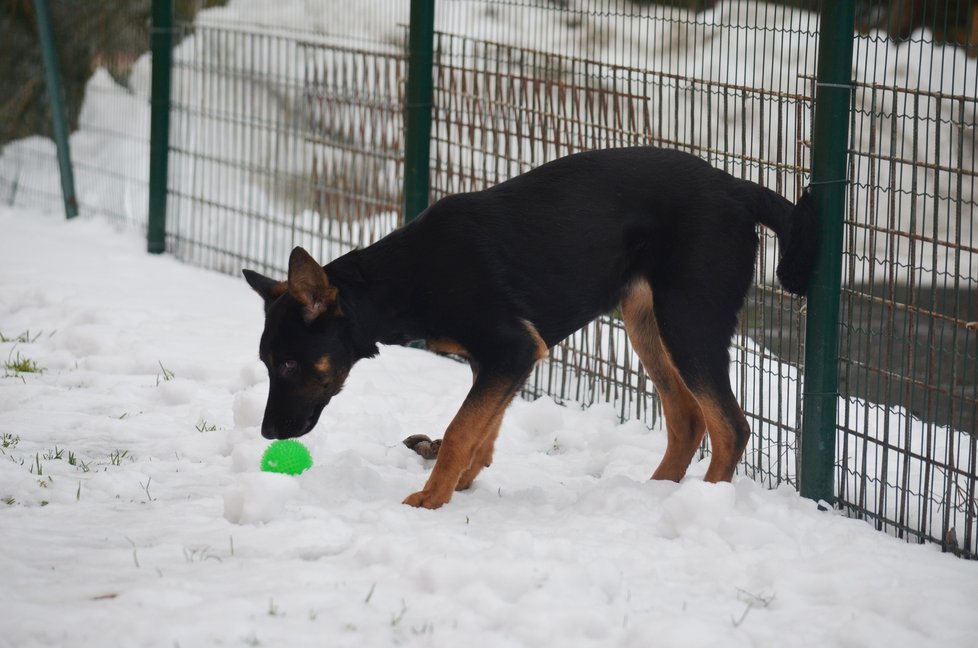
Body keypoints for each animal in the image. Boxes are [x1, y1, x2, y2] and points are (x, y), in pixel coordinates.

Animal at [244, 147, 816, 512]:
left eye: (290, 363)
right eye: (267, 364)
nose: (267, 434)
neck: (403, 277)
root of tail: (736, 187)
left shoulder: (512, 348)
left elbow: (461, 430)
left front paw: (432, 497)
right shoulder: (499, 359)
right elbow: (482, 431)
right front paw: (461, 482)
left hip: (688, 319)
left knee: (730, 426)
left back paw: (703, 503)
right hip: (647, 322)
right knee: (688, 419)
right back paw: (655, 493)